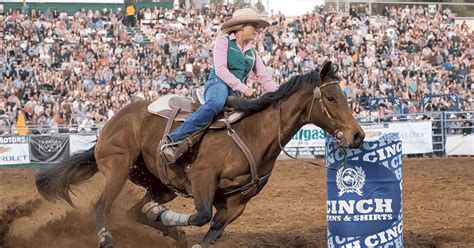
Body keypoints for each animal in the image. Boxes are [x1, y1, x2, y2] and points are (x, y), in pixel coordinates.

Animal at [35, 61, 364, 246]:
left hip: (159, 183)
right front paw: (168, 219)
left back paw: (164, 225)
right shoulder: (203, 179)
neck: (253, 134)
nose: (358, 136)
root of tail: (114, 121)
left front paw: (170, 224)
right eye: (331, 98)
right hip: (117, 166)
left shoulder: (236, 204)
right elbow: (200, 216)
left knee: (135, 211)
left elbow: (209, 232)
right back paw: (108, 237)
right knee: (101, 206)